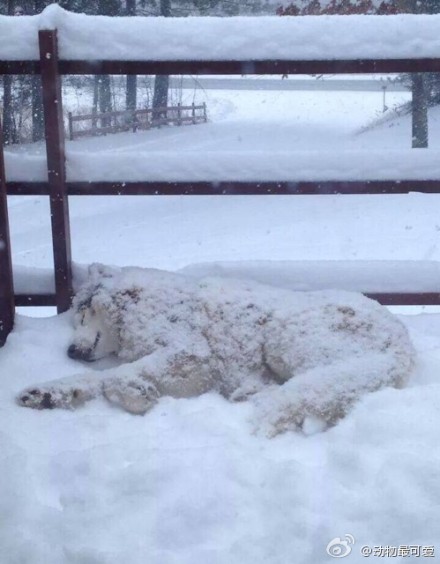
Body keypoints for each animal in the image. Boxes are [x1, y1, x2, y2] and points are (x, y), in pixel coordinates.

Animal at [18, 264, 416, 436]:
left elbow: (116, 377)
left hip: (286, 333)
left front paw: (137, 394)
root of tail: (401, 343)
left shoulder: (193, 355)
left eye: (82, 314)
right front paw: (49, 393)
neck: (139, 306)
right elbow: (94, 379)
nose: (70, 351)